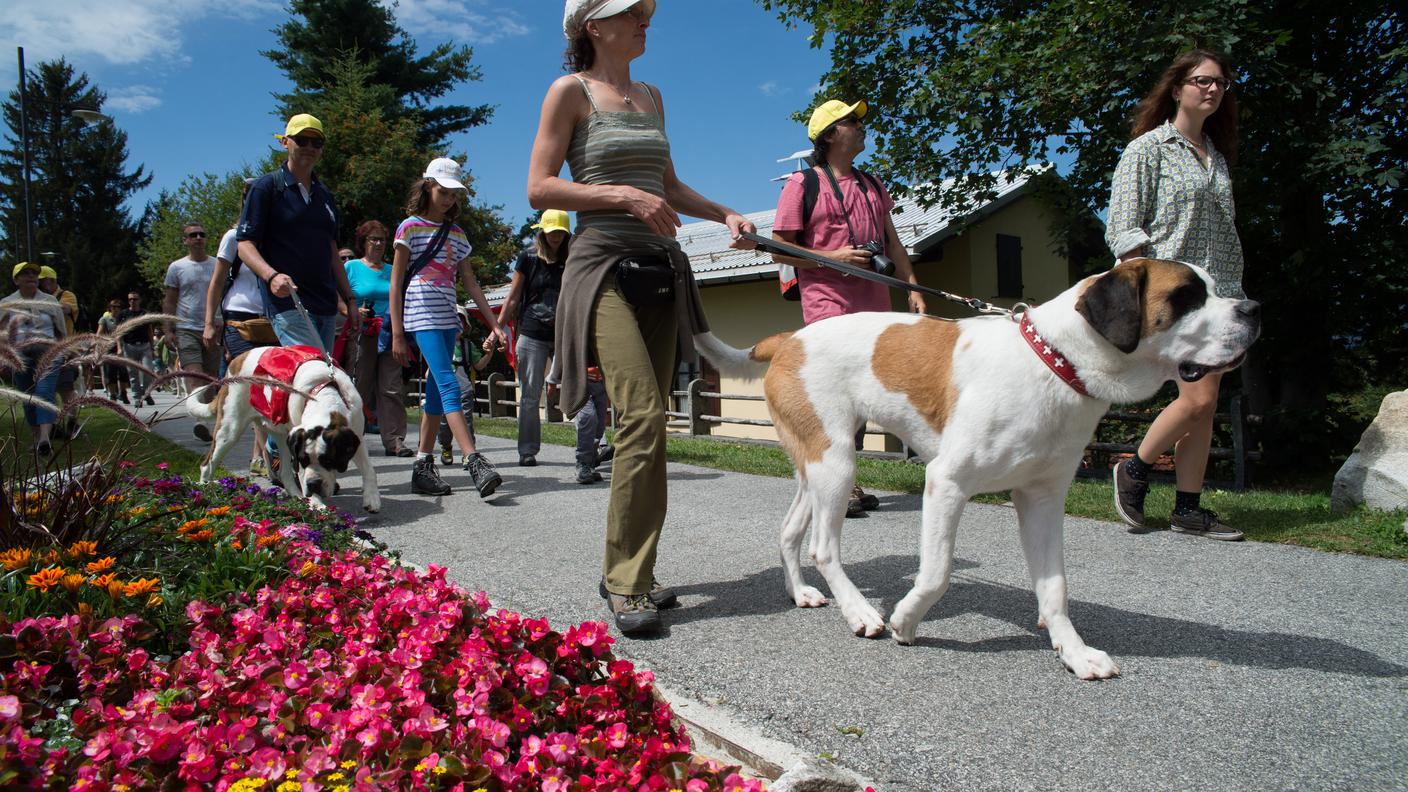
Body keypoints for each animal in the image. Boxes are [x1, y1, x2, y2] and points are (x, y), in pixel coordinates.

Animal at [192, 345, 382, 512]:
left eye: (328, 461)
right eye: (304, 460)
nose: (313, 484)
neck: (323, 396)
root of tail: (237, 359)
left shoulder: (356, 435)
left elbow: (369, 469)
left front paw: (372, 499)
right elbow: (302, 474)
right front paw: (317, 504)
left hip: (282, 434)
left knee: (284, 470)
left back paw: (297, 496)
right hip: (229, 429)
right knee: (207, 464)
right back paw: (205, 490)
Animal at [698, 256, 1261, 676]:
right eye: (1186, 296)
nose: (1255, 308)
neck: (1052, 360)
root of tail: (790, 338)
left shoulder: (1042, 499)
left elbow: (1055, 585)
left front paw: (1074, 652)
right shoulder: (946, 484)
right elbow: (937, 573)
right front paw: (905, 621)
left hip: (814, 465)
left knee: (791, 532)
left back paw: (801, 592)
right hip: (836, 464)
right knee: (823, 546)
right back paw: (860, 611)